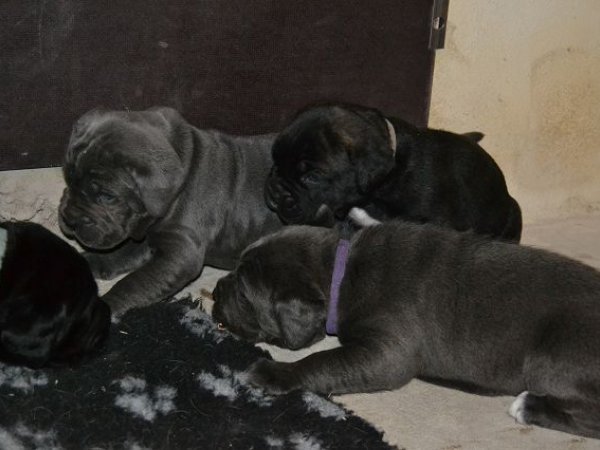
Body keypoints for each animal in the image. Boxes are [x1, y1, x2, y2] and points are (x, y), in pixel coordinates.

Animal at [59, 107, 283, 315]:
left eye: (107, 196)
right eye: (68, 179)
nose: (69, 219)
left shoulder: (179, 253)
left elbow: (133, 283)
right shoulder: (145, 236)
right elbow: (114, 254)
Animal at [212, 222, 600, 439]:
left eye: (244, 293)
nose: (214, 290)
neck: (344, 272)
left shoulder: (387, 353)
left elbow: (323, 360)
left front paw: (275, 373)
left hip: (549, 357)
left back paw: (528, 406)